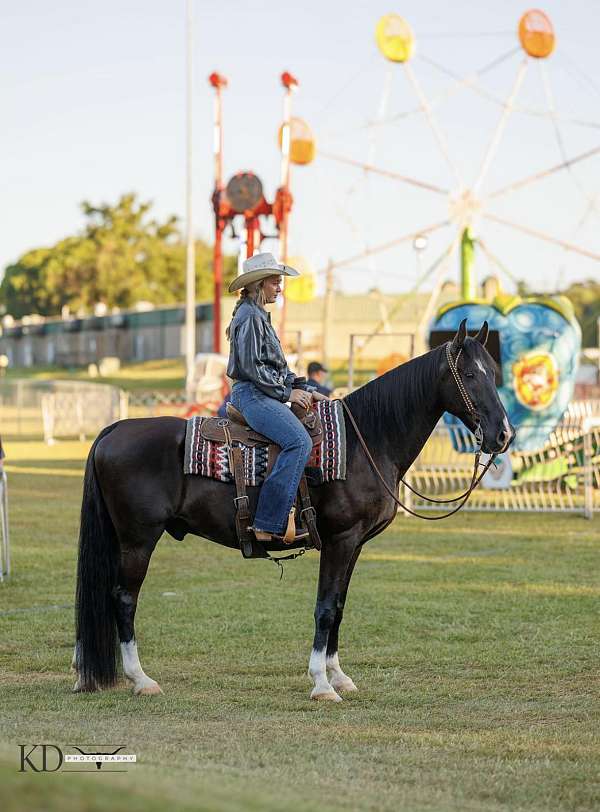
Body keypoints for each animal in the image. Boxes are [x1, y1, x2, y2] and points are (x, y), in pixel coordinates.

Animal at [75, 320, 512, 700]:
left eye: (493, 372)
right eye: (468, 374)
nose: (503, 434)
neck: (365, 441)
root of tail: (115, 429)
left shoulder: (354, 545)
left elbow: (339, 606)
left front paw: (339, 676)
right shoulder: (340, 540)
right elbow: (325, 608)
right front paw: (322, 684)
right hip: (138, 539)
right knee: (123, 598)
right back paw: (141, 679)